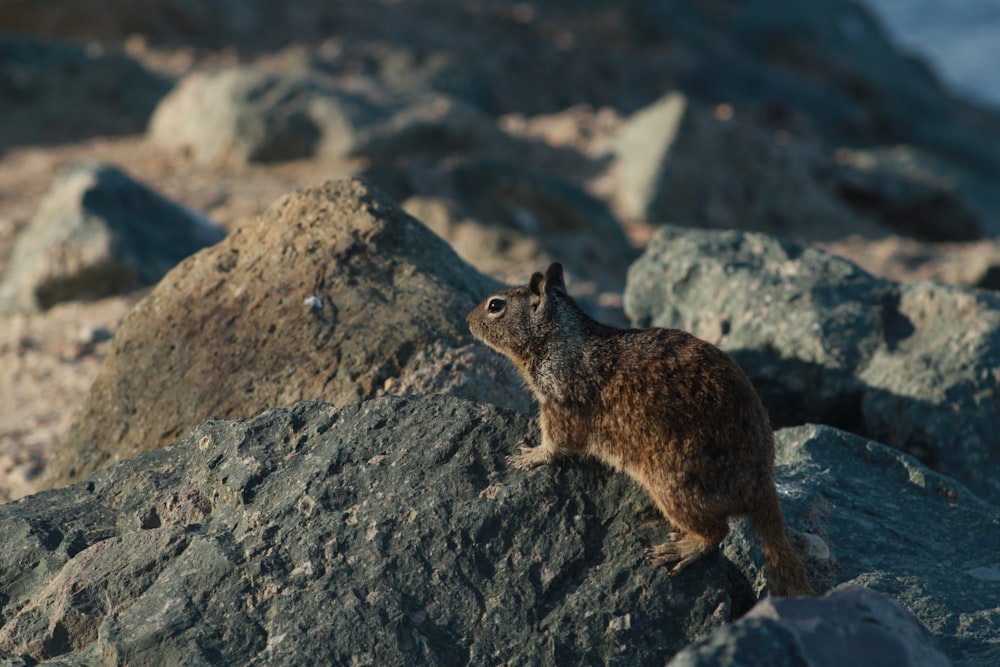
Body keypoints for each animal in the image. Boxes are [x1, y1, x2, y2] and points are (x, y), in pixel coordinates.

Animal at [466, 260, 812, 596]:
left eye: (495, 305)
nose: (468, 320)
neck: (559, 337)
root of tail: (763, 484)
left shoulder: (561, 402)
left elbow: (557, 442)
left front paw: (530, 456)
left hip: (672, 486)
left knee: (717, 531)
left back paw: (681, 549)